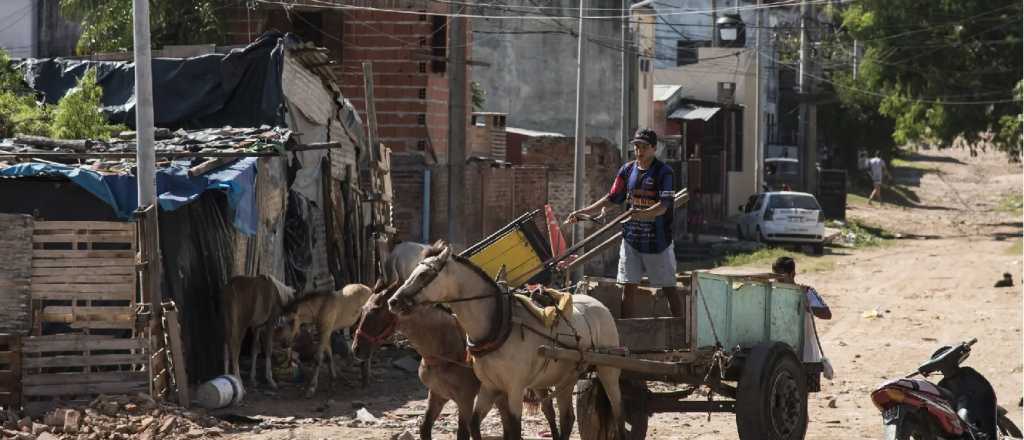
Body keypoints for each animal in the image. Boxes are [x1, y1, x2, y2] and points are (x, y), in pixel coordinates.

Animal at [354, 284, 561, 440]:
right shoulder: (437, 394)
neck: (444, 349)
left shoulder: (465, 399)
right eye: (361, 310)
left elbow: (463, 433)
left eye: (374, 312)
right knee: (507, 422)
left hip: (536, 382)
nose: (356, 349)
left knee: (549, 411)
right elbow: (425, 428)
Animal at [389, 242, 622, 437]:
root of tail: (598, 303)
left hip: (608, 371)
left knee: (617, 411)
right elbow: (475, 424)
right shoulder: (490, 387)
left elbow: (514, 430)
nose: (393, 301)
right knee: (566, 418)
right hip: (565, 378)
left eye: (424, 274)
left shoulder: (514, 389)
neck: (499, 325)